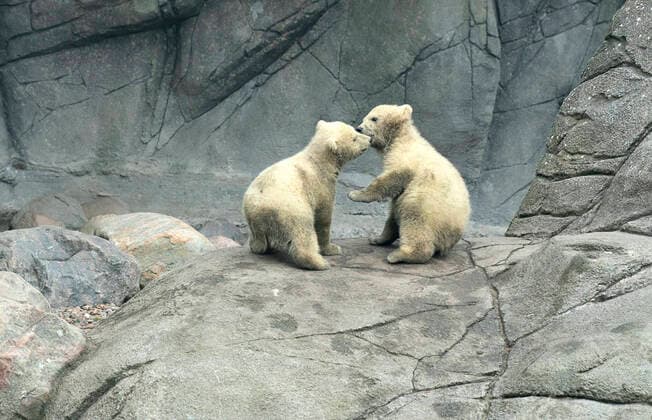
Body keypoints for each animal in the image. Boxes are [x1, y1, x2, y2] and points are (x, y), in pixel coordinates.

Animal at [243, 120, 371, 270]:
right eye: (354, 138)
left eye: (354, 130)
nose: (369, 139)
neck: (318, 162)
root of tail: (261, 207)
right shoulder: (321, 185)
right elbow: (323, 217)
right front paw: (332, 249)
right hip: (290, 209)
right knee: (303, 232)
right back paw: (319, 263)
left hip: (253, 217)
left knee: (258, 238)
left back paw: (258, 247)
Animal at [348, 104, 470, 264]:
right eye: (365, 118)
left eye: (374, 118)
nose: (359, 128)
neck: (401, 138)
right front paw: (375, 238)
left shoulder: (406, 159)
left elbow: (390, 179)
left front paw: (355, 194)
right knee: (396, 215)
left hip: (427, 202)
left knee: (413, 217)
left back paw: (399, 255)